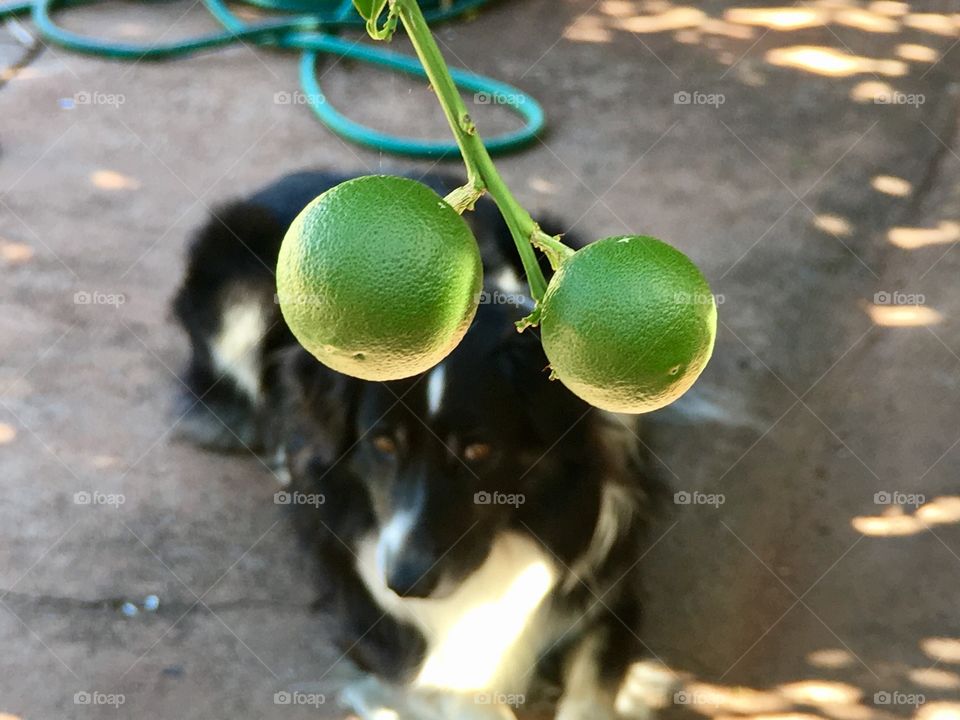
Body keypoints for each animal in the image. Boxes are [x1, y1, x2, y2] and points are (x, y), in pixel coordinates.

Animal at [172, 170, 664, 720]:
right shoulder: (387, 636)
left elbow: (592, 691)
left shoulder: (610, 596)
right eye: (383, 444)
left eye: (478, 452)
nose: (406, 585)